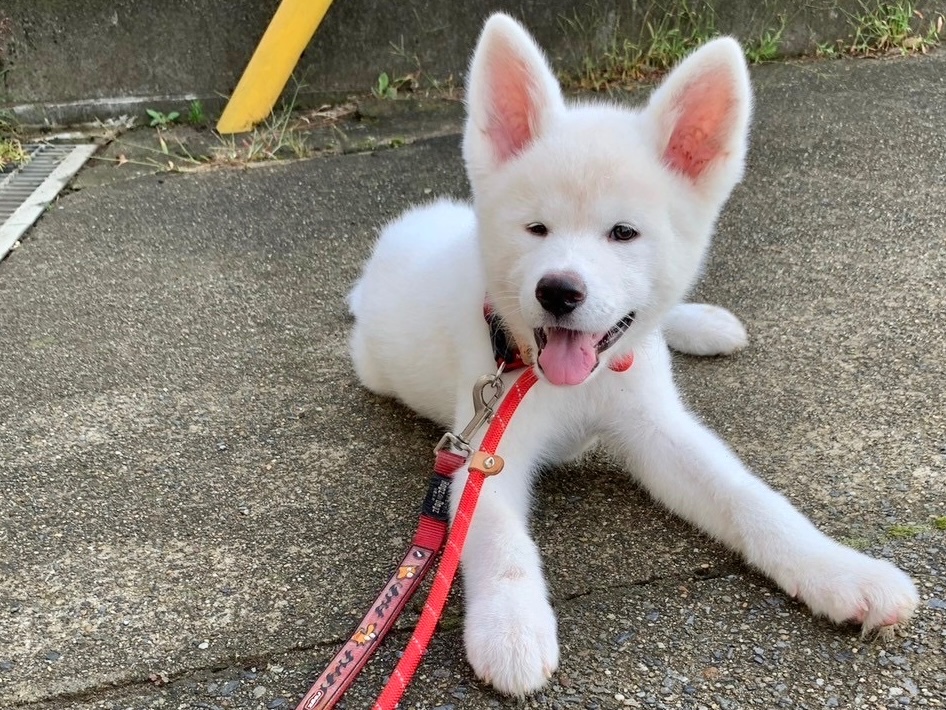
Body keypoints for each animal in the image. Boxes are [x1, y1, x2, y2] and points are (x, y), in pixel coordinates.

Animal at [347, 13, 919, 697]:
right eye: (536, 229)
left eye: (623, 233)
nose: (557, 291)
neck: (571, 380)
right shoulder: (484, 451)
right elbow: (497, 540)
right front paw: (511, 627)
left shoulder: (658, 428)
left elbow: (753, 501)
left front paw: (840, 569)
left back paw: (702, 323)